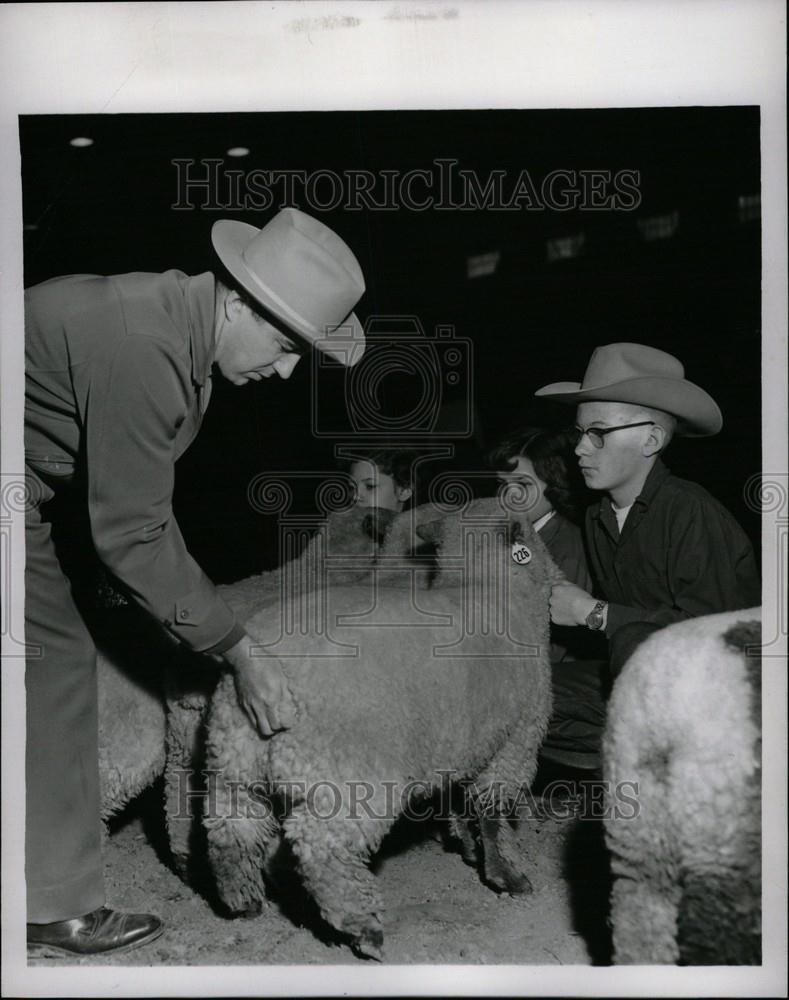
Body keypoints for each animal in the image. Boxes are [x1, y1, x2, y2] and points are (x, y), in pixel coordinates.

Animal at [203, 498, 556, 960]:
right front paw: (507, 875)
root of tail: (259, 668)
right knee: (320, 846)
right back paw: (363, 927)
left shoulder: (464, 741)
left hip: (234, 761)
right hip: (352, 775)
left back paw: (244, 899)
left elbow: (460, 802)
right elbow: (491, 810)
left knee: (232, 827)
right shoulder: (515, 740)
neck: (486, 586)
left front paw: (465, 844)